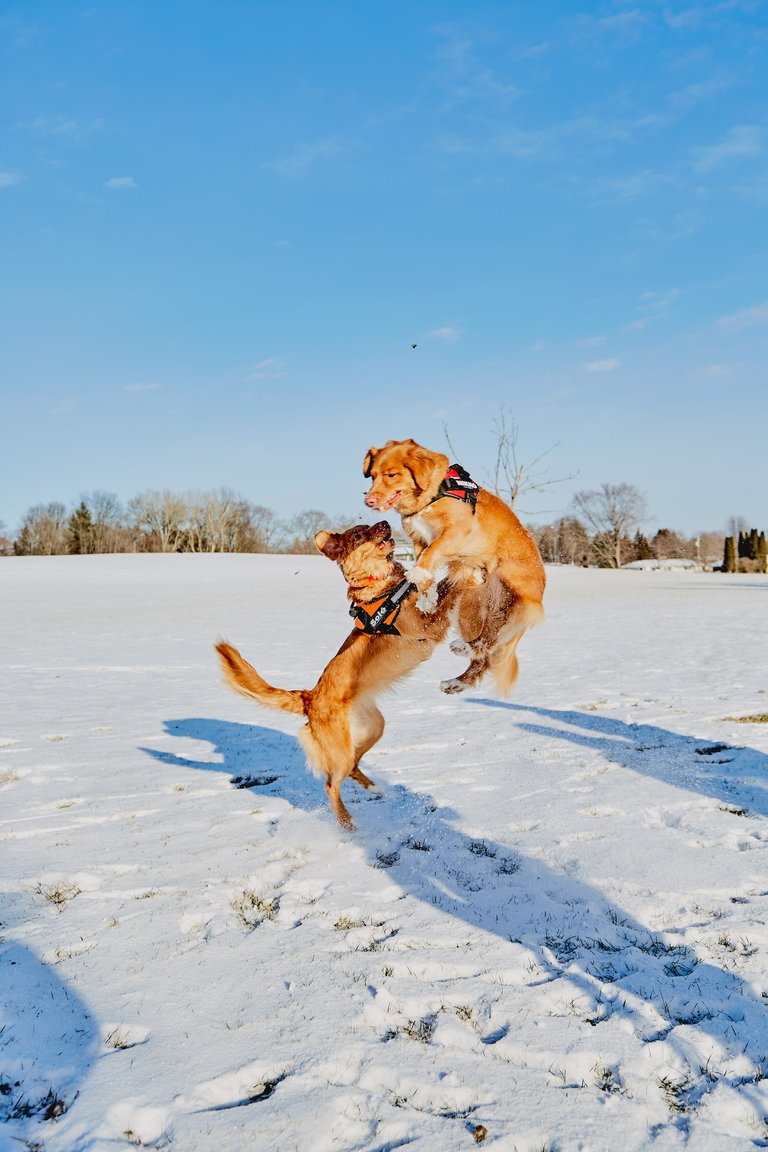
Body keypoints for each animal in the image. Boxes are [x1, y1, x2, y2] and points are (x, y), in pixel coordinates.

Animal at [215, 523, 455, 829]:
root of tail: (309, 697)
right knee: (332, 784)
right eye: (359, 535)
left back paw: (374, 788)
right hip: (339, 751)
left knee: (353, 766)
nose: (386, 523)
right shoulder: (429, 627)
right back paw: (347, 824)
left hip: (374, 728)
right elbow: (448, 594)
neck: (384, 588)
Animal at [361, 437, 545, 691]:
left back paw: (463, 652)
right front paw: (428, 599)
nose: (368, 501)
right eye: (372, 476)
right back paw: (456, 682)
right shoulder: (419, 539)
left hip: (508, 597)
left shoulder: (457, 530)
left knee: (487, 644)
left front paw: (417, 577)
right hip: (473, 606)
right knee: (486, 651)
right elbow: (426, 565)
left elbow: (432, 553)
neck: (433, 493)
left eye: (391, 474)